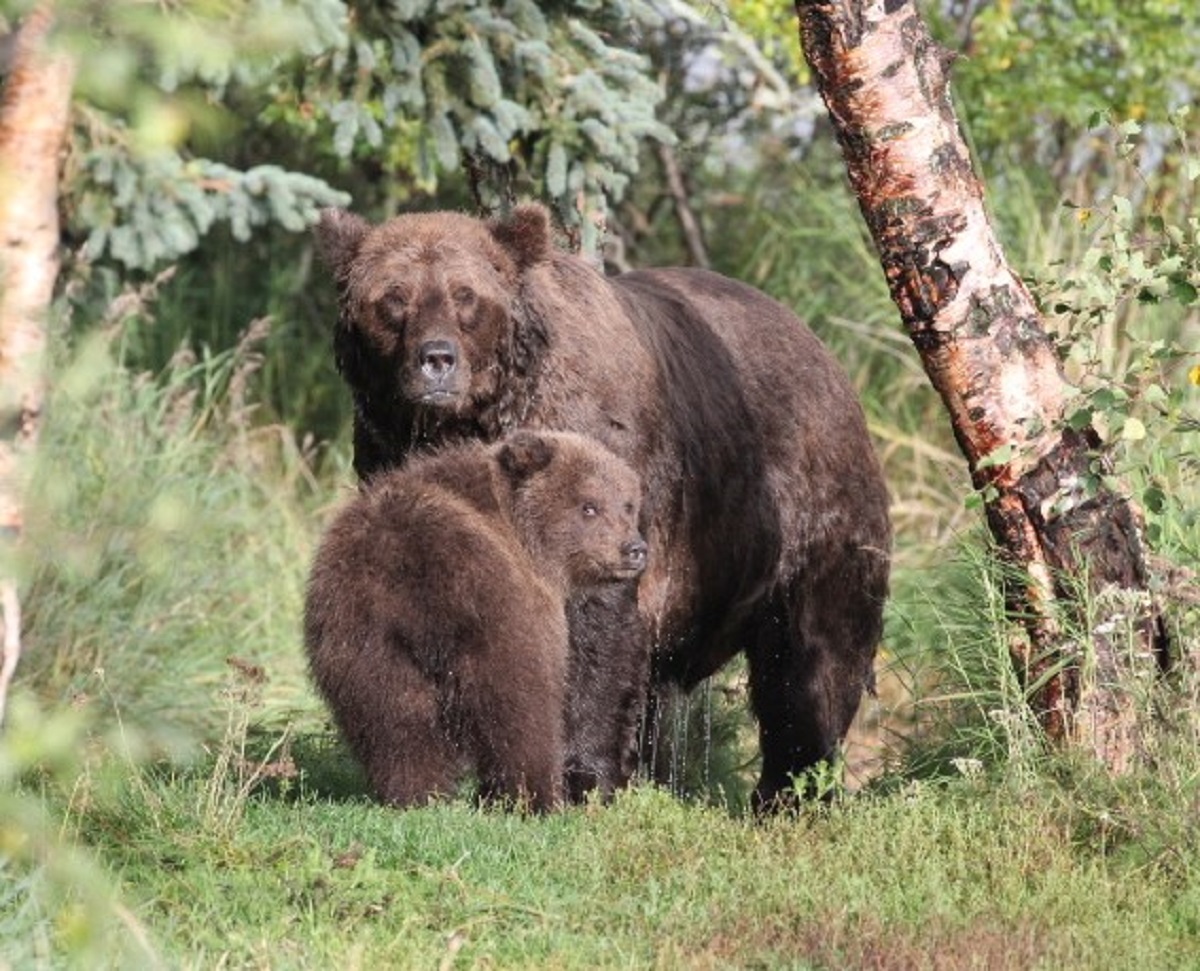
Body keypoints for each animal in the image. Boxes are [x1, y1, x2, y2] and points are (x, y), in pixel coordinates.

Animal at [304, 432, 652, 811]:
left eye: (628, 505)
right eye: (589, 506)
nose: (634, 549)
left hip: (362, 639)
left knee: (395, 722)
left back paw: (420, 795)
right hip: (493, 622)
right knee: (522, 714)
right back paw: (537, 797)